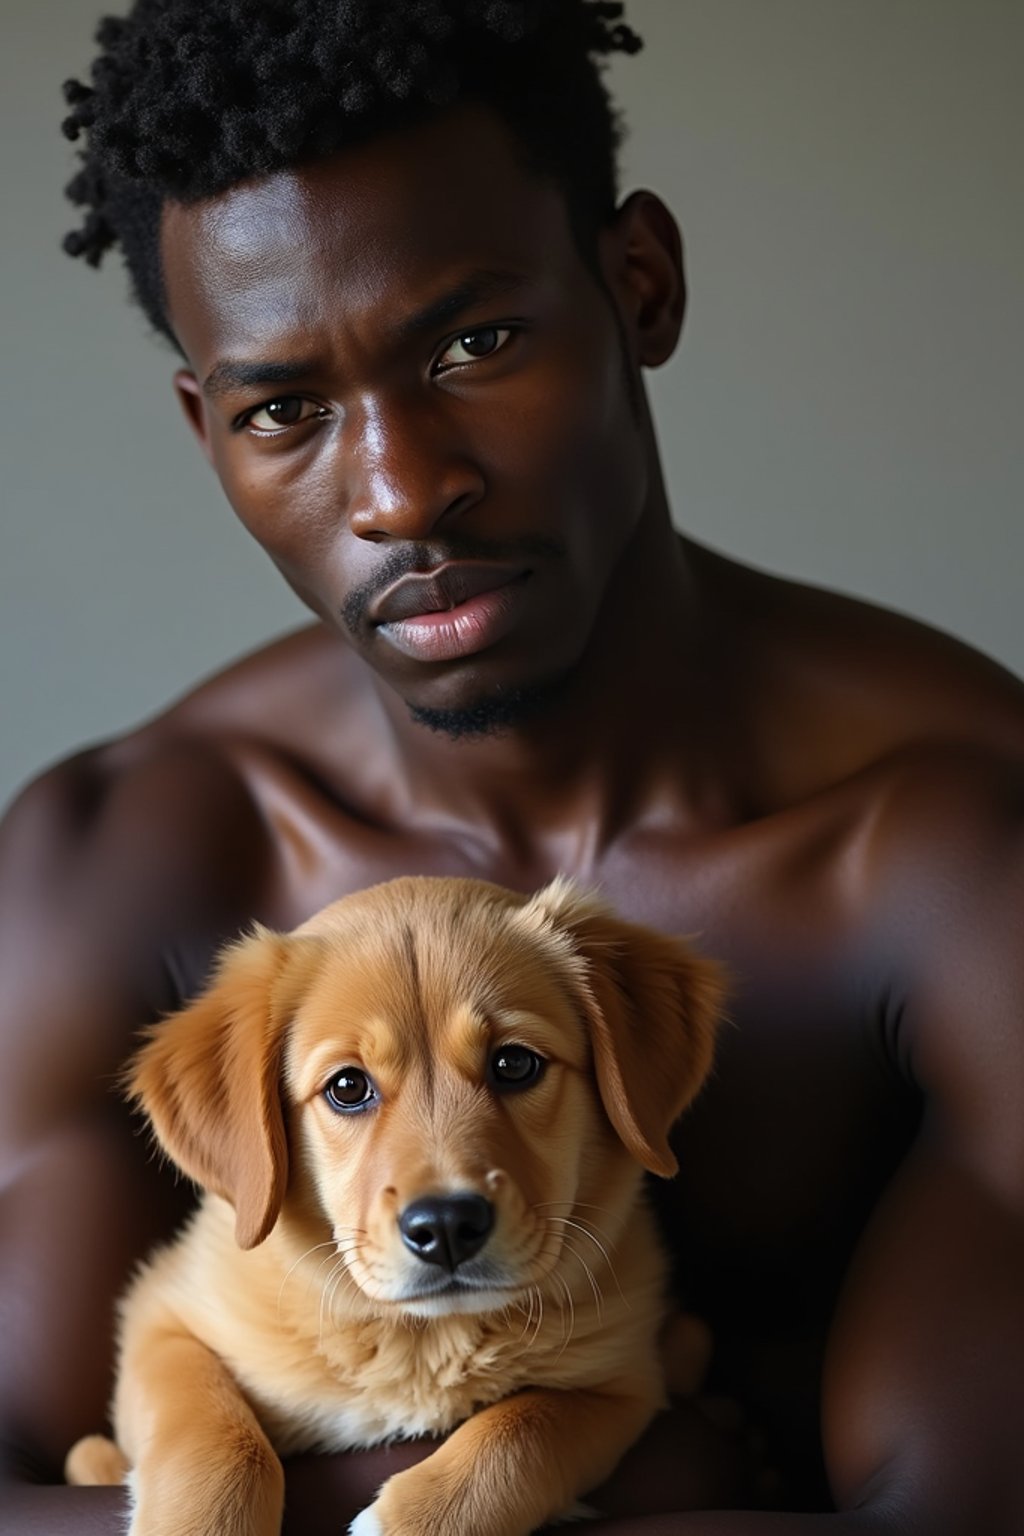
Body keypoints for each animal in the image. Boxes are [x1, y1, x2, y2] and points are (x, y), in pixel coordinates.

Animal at [66, 878, 721, 1536]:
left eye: (514, 1063)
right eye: (348, 1087)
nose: (448, 1226)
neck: (420, 1336)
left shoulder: (622, 1379)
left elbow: (523, 1428)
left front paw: (417, 1516)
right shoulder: (161, 1314)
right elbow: (212, 1431)